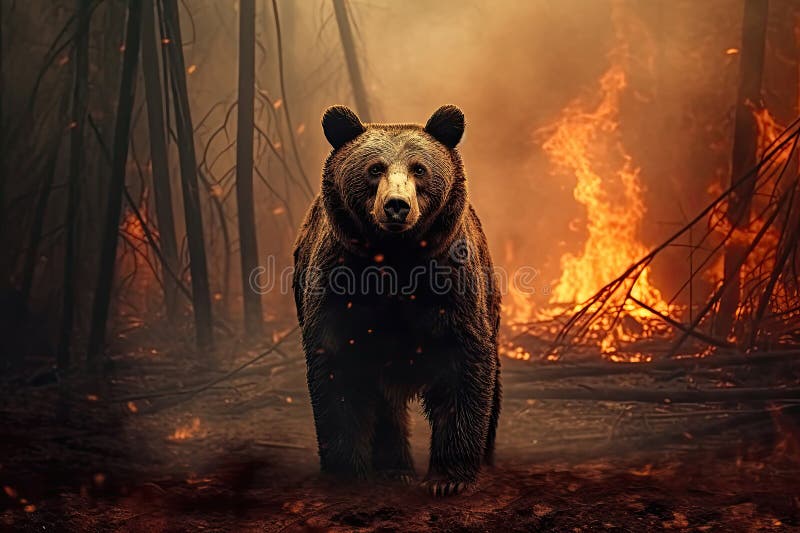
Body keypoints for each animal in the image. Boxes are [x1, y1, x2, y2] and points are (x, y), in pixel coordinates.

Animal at [292, 104, 501, 496]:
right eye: (375, 168)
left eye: (419, 168)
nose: (396, 206)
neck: (394, 259)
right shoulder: (340, 282)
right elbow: (338, 369)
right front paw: (348, 471)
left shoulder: (449, 282)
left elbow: (463, 363)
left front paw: (448, 478)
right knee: (385, 404)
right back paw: (394, 468)